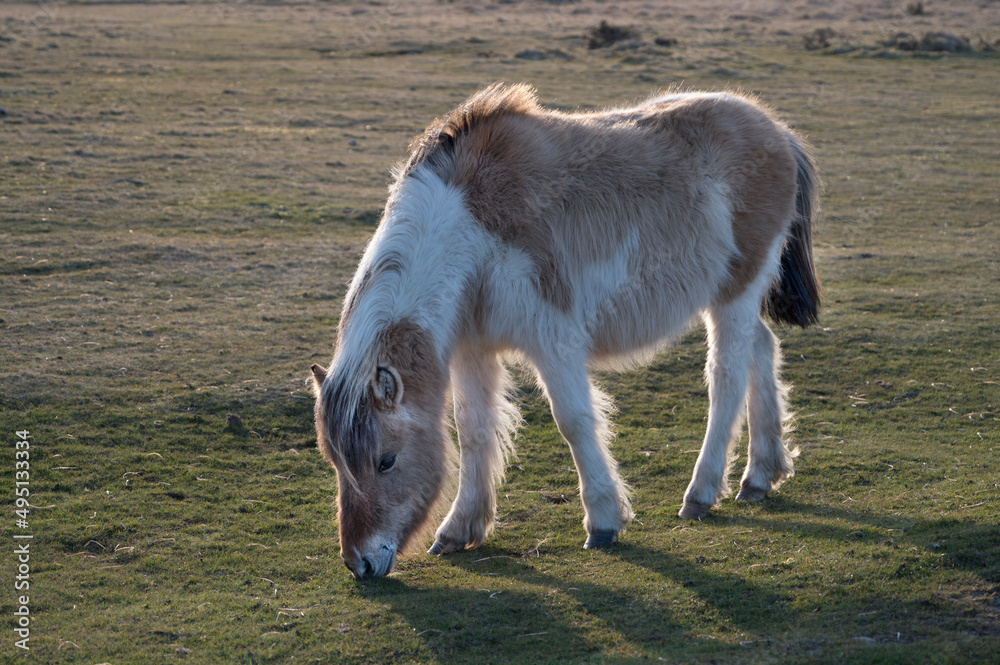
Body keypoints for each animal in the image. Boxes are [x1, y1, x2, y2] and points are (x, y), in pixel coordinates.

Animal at [311, 83, 820, 579]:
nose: (359, 563)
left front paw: (604, 521)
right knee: (762, 351)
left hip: (736, 292)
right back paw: (761, 475)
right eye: (335, 461)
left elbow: (573, 421)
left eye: (386, 460)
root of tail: (777, 132)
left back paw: (702, 493)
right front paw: (460, 529)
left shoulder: (551, 339)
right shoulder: (473, 348)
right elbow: (474, 428)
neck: (469, 225)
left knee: (727, 378)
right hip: (737, 297)